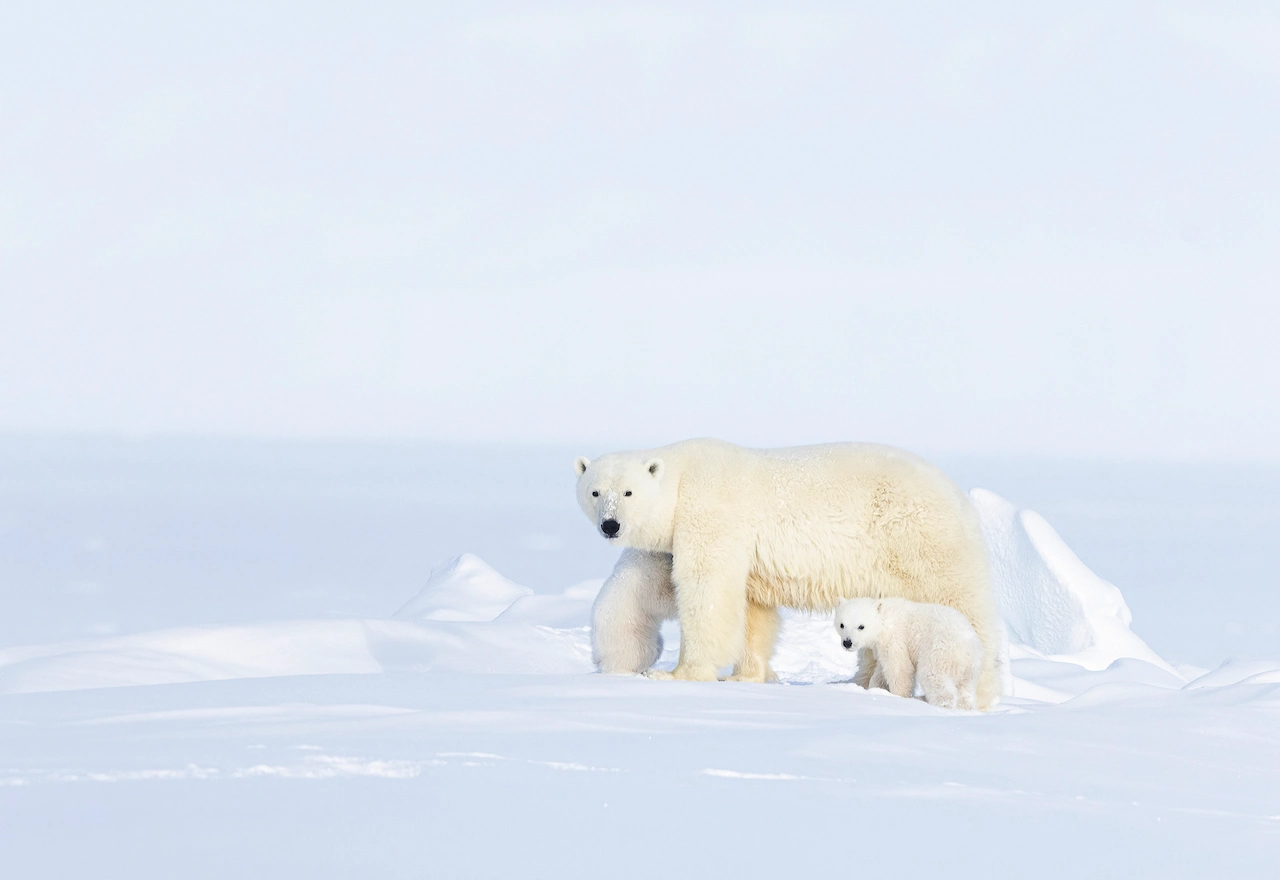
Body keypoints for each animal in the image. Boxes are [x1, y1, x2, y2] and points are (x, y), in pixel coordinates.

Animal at [835, 597, 983, 710]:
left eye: (861, 626)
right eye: (842, 624)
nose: (847, 643)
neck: (884, 618)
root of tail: (967, 650)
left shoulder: (894, 638)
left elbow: (900, 669)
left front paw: (899, 696)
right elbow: (882, 670)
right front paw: (876, 688)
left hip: (939, 653)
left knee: (934, 678)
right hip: (970, 669)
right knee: (965, 689)